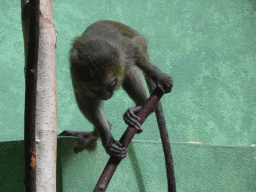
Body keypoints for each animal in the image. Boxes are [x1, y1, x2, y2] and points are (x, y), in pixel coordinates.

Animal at [59, 19, 172, 159]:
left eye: (111, 85)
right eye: (95, 89)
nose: (105, 95)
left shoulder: (123, 51)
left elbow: (135, 49)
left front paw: (159, 76)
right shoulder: (78, 80)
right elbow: (90, 104)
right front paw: (108, 142)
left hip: (139, 45)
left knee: (129, 69)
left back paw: (141, 106)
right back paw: (97, 132)